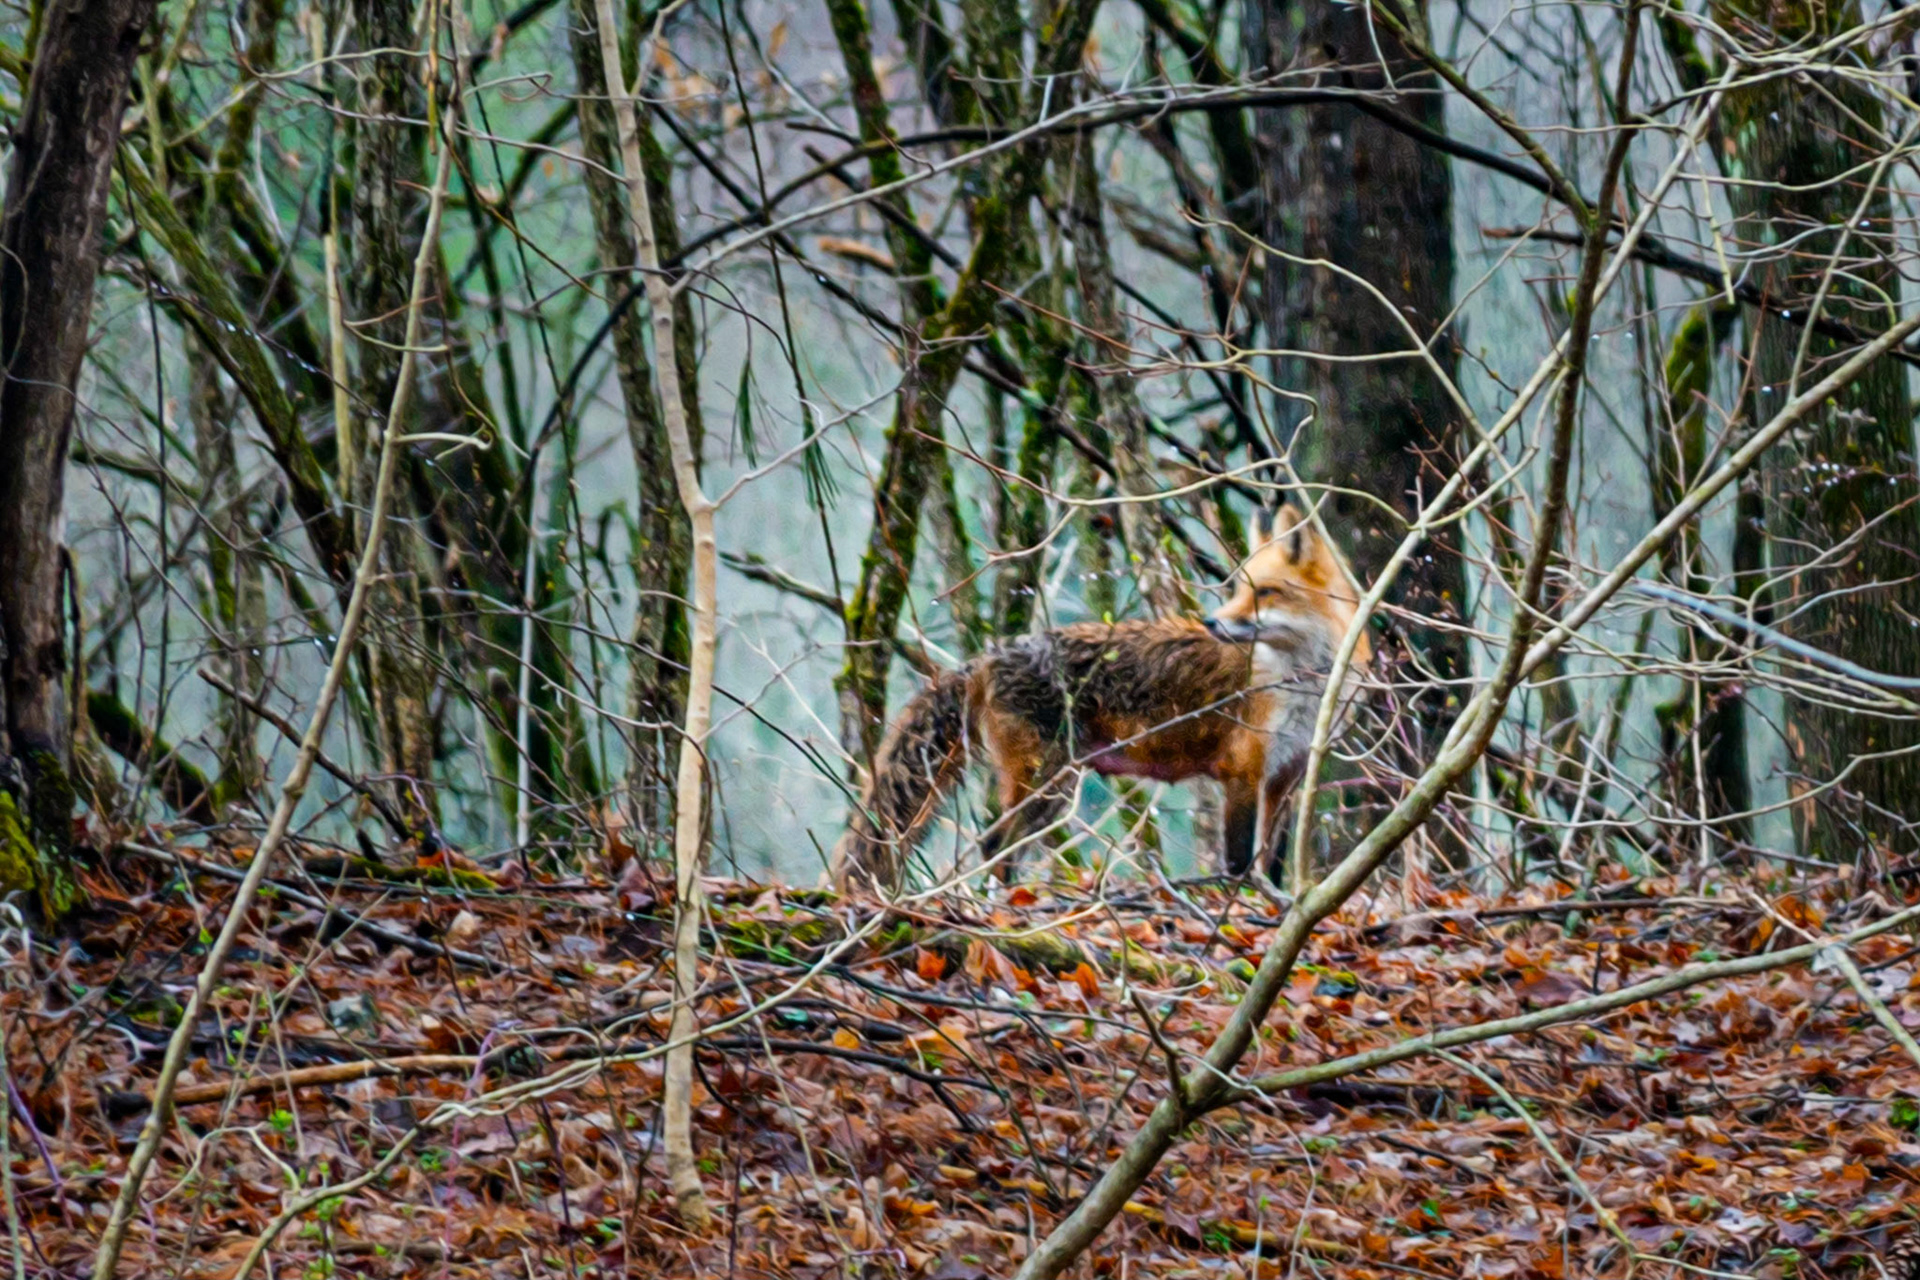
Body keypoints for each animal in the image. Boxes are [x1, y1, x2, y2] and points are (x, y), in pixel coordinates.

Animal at [832, 502, 1370, 890]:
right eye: (1238, 588)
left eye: (1267, 592)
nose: (1213, 623)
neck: (1303, 684)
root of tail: (986, 657)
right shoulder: (1243, 771)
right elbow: (1238, 864)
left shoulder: (1287, 776)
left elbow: (1273, 863)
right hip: (1045, 781)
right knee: (994, 844)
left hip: (1055, 785)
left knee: (1000, 846)